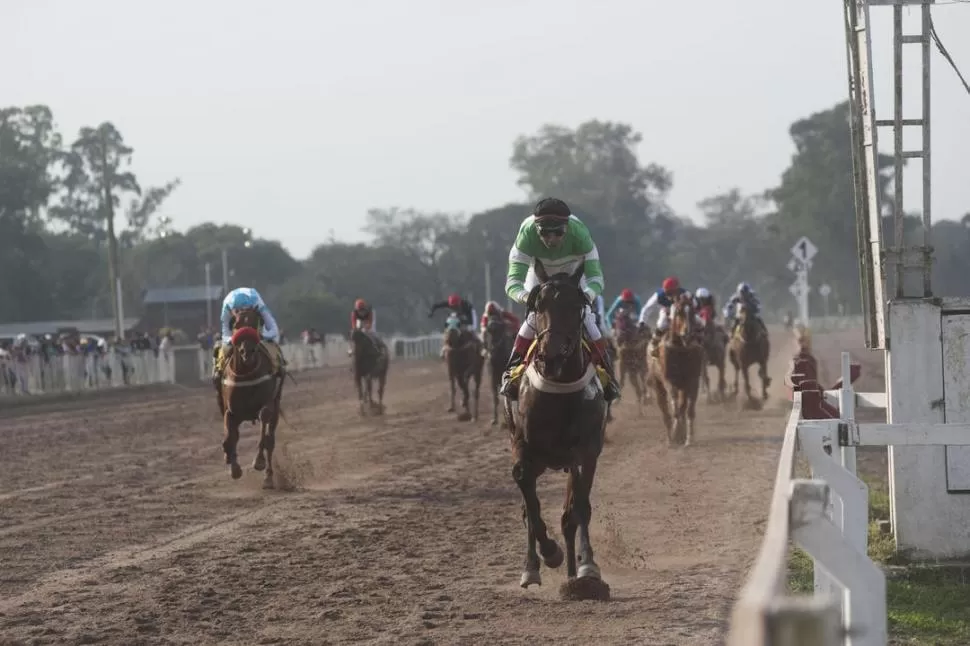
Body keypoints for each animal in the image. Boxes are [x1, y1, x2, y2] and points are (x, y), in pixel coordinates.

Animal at [217, 312, 282, 488]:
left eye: (256, 321)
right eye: (236, 324)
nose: (248, 352)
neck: (246, 374)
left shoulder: (267, 403)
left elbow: (264, 423)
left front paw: (258, 462)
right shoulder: (231, 411)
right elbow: (229, 438)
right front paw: (233, 467)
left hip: (276, 405)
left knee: (270, 439)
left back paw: (268, 477)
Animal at [502, 260, 608, 604]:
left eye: (576, 306)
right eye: (538, 306)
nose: (550, 354)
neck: (559, 387)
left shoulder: (586, 450)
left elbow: (578, 509)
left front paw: (587, 568)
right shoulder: (524, 449)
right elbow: (531, 506)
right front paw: (548, 555)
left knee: (568, 516)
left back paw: (574, 577)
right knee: (529, 510)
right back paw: (533, 568)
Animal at [648, 296, 700, 448]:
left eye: (693, 312)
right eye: (678, 312)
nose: (688, 334)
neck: (681, 349)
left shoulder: (693, 381)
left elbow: (688, 410)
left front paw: (688, 438)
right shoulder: (669, 381)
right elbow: (675, 407)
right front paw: (676, 434)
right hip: (657, 384)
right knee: (665, 411)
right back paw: (670, 438)